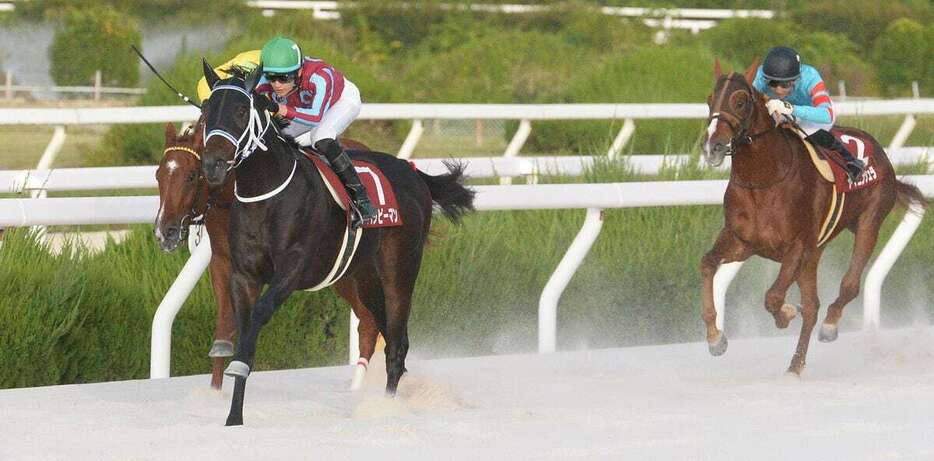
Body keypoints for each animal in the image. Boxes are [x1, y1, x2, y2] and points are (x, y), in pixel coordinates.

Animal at [157, 121, 384, 388]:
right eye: (158, 175)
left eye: (191, 176)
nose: (164, 232)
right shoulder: (223, 262)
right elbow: (224, 328)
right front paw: (215, 389)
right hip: (341, 273)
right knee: (367, 320)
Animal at [198, 63, 476, 426]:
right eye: (206, 111)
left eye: (241, 111)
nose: (212, 165)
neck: (266, 194)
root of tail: (413, 170)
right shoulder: (243, 275)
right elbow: (245, 329)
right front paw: (234, 416)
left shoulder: (291, 271)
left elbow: (258, 315)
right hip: (364, 277)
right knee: (388, 334)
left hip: (399, 271)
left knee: (397, 341)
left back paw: (386, 409)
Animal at [704, 59, 928, 376]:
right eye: (709, 99)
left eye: (740, 100)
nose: (713, 146)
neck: (764, 179)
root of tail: (880, 152)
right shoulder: (741, 241)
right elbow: (707, 264)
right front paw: (715, 338)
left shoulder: (797, 246)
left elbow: (773, 296)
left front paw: (786, 313)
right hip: (815, 251)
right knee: (812, 306)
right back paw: (795, 365)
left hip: (868, 223)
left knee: (848, 285)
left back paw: (829, 326)